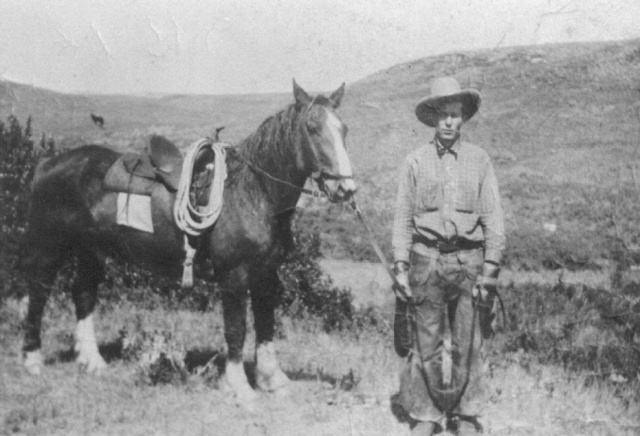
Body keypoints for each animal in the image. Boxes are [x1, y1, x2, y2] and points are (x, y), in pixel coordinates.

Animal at [20, 80, 356, 402]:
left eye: (344, 129)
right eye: (312, 127)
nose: (346, 188)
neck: (253, 192)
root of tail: (47, 164)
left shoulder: (267, 273)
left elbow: (265, 324)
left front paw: (272, 379)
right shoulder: (234, 275)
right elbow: (237, 329)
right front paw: (239, 386)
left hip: (92, 250)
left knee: (83, 294)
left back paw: (92, 361)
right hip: (50, 248)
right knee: (39, 294)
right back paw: (32, 359)